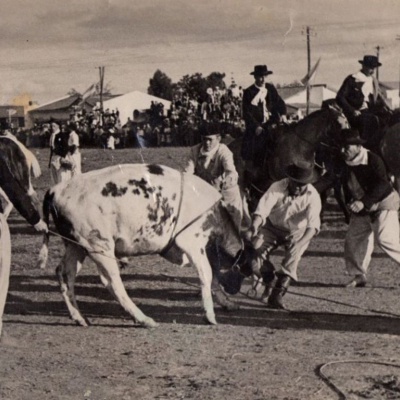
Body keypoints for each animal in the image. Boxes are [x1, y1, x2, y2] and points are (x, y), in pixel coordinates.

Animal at [38, 164, 244, 326]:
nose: (235, 289)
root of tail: (55, 190)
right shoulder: (192, 241)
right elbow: (207, 274)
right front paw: (210, 315)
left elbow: (214, 275)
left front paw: (227, 302)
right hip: (98, 245)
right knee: (112, 282)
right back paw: (143, 319)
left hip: (76, 245)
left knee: (65, 273)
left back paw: (79, 317)